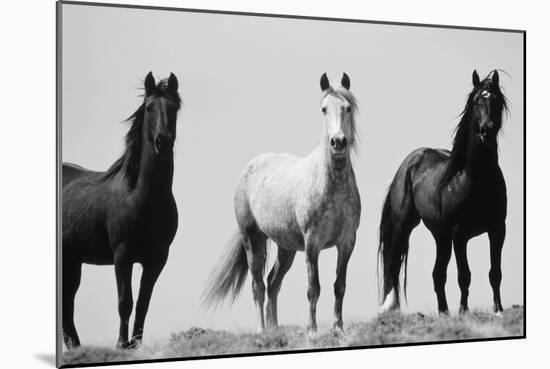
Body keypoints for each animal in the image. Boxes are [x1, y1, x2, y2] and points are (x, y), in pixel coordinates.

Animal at [62, 72, 183, 348]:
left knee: (67, 305)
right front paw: (121, 344)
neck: (140, 197)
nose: (163, 142)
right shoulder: (122, 256)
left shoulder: (157, 259)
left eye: (174, 108)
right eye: (149, 108)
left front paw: (135, 344)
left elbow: (143, 303)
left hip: (72, 262)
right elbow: (125, 302)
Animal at [203, 72, 362, 334]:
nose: (338, 142)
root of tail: (250, 167)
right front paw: (312, 331)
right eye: (323, 109)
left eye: (347, 108)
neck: (331, 185)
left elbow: (340, 285)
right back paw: (263, 331)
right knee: (258, 284)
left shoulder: (347, 241)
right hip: (252, 238)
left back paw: (275, 329)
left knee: (273, 282)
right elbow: (313, 288)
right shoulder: (312, 243)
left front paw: (337, 328)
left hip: (286, 248)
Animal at [382, 70, 512, 314]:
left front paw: (498, 309)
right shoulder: (460, 233)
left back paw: (444, 312)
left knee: (437, 274)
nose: (486, 131)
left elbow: (495, 273)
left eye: (497, 101)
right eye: (476, 101)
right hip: (404, 226)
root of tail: (409, 162)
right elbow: (464, 275)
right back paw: (388, 308)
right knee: (392, 265)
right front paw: (463, 311)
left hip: (441, 236)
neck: (476, 179)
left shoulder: (497, 229)